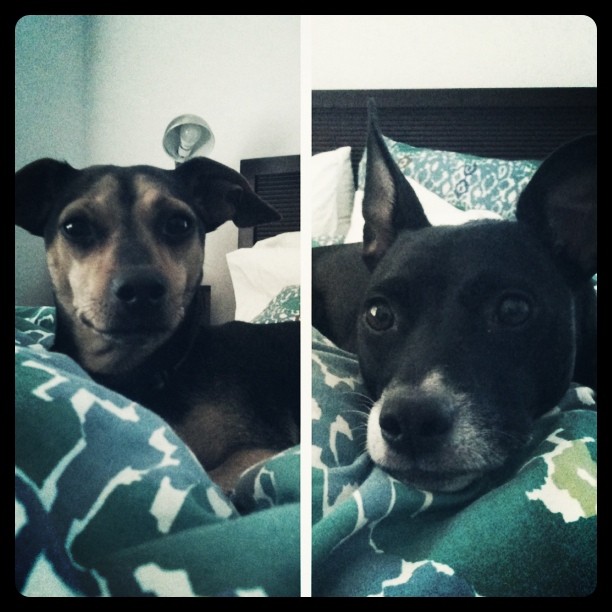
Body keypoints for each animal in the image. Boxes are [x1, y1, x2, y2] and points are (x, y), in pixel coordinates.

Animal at [14, 158, 302, 492]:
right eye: (75, 227)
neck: (140, 372)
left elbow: (213, 480)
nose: (141, 289)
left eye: (179, 224)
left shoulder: (265, 451)